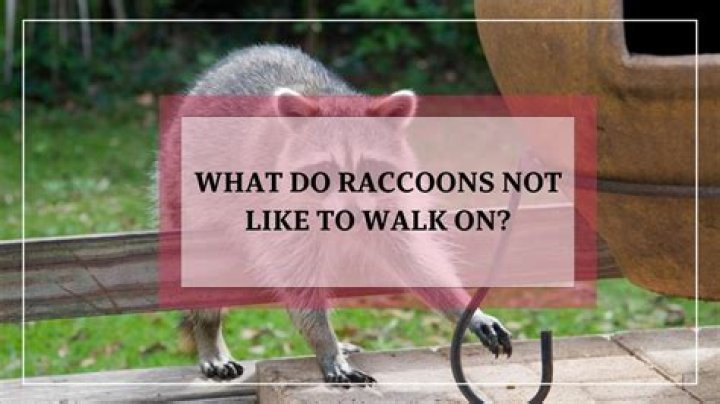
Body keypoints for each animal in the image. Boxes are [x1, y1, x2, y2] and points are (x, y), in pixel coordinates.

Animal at [162, 45, 512, 386]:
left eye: (368, 168)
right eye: (325, 171)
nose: (352, 212)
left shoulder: (388, 203)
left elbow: (417, 260)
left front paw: (465, 309)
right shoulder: (275, 208)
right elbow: (298, 280)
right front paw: (324, 344)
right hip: (181, 187)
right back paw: (209, 334)